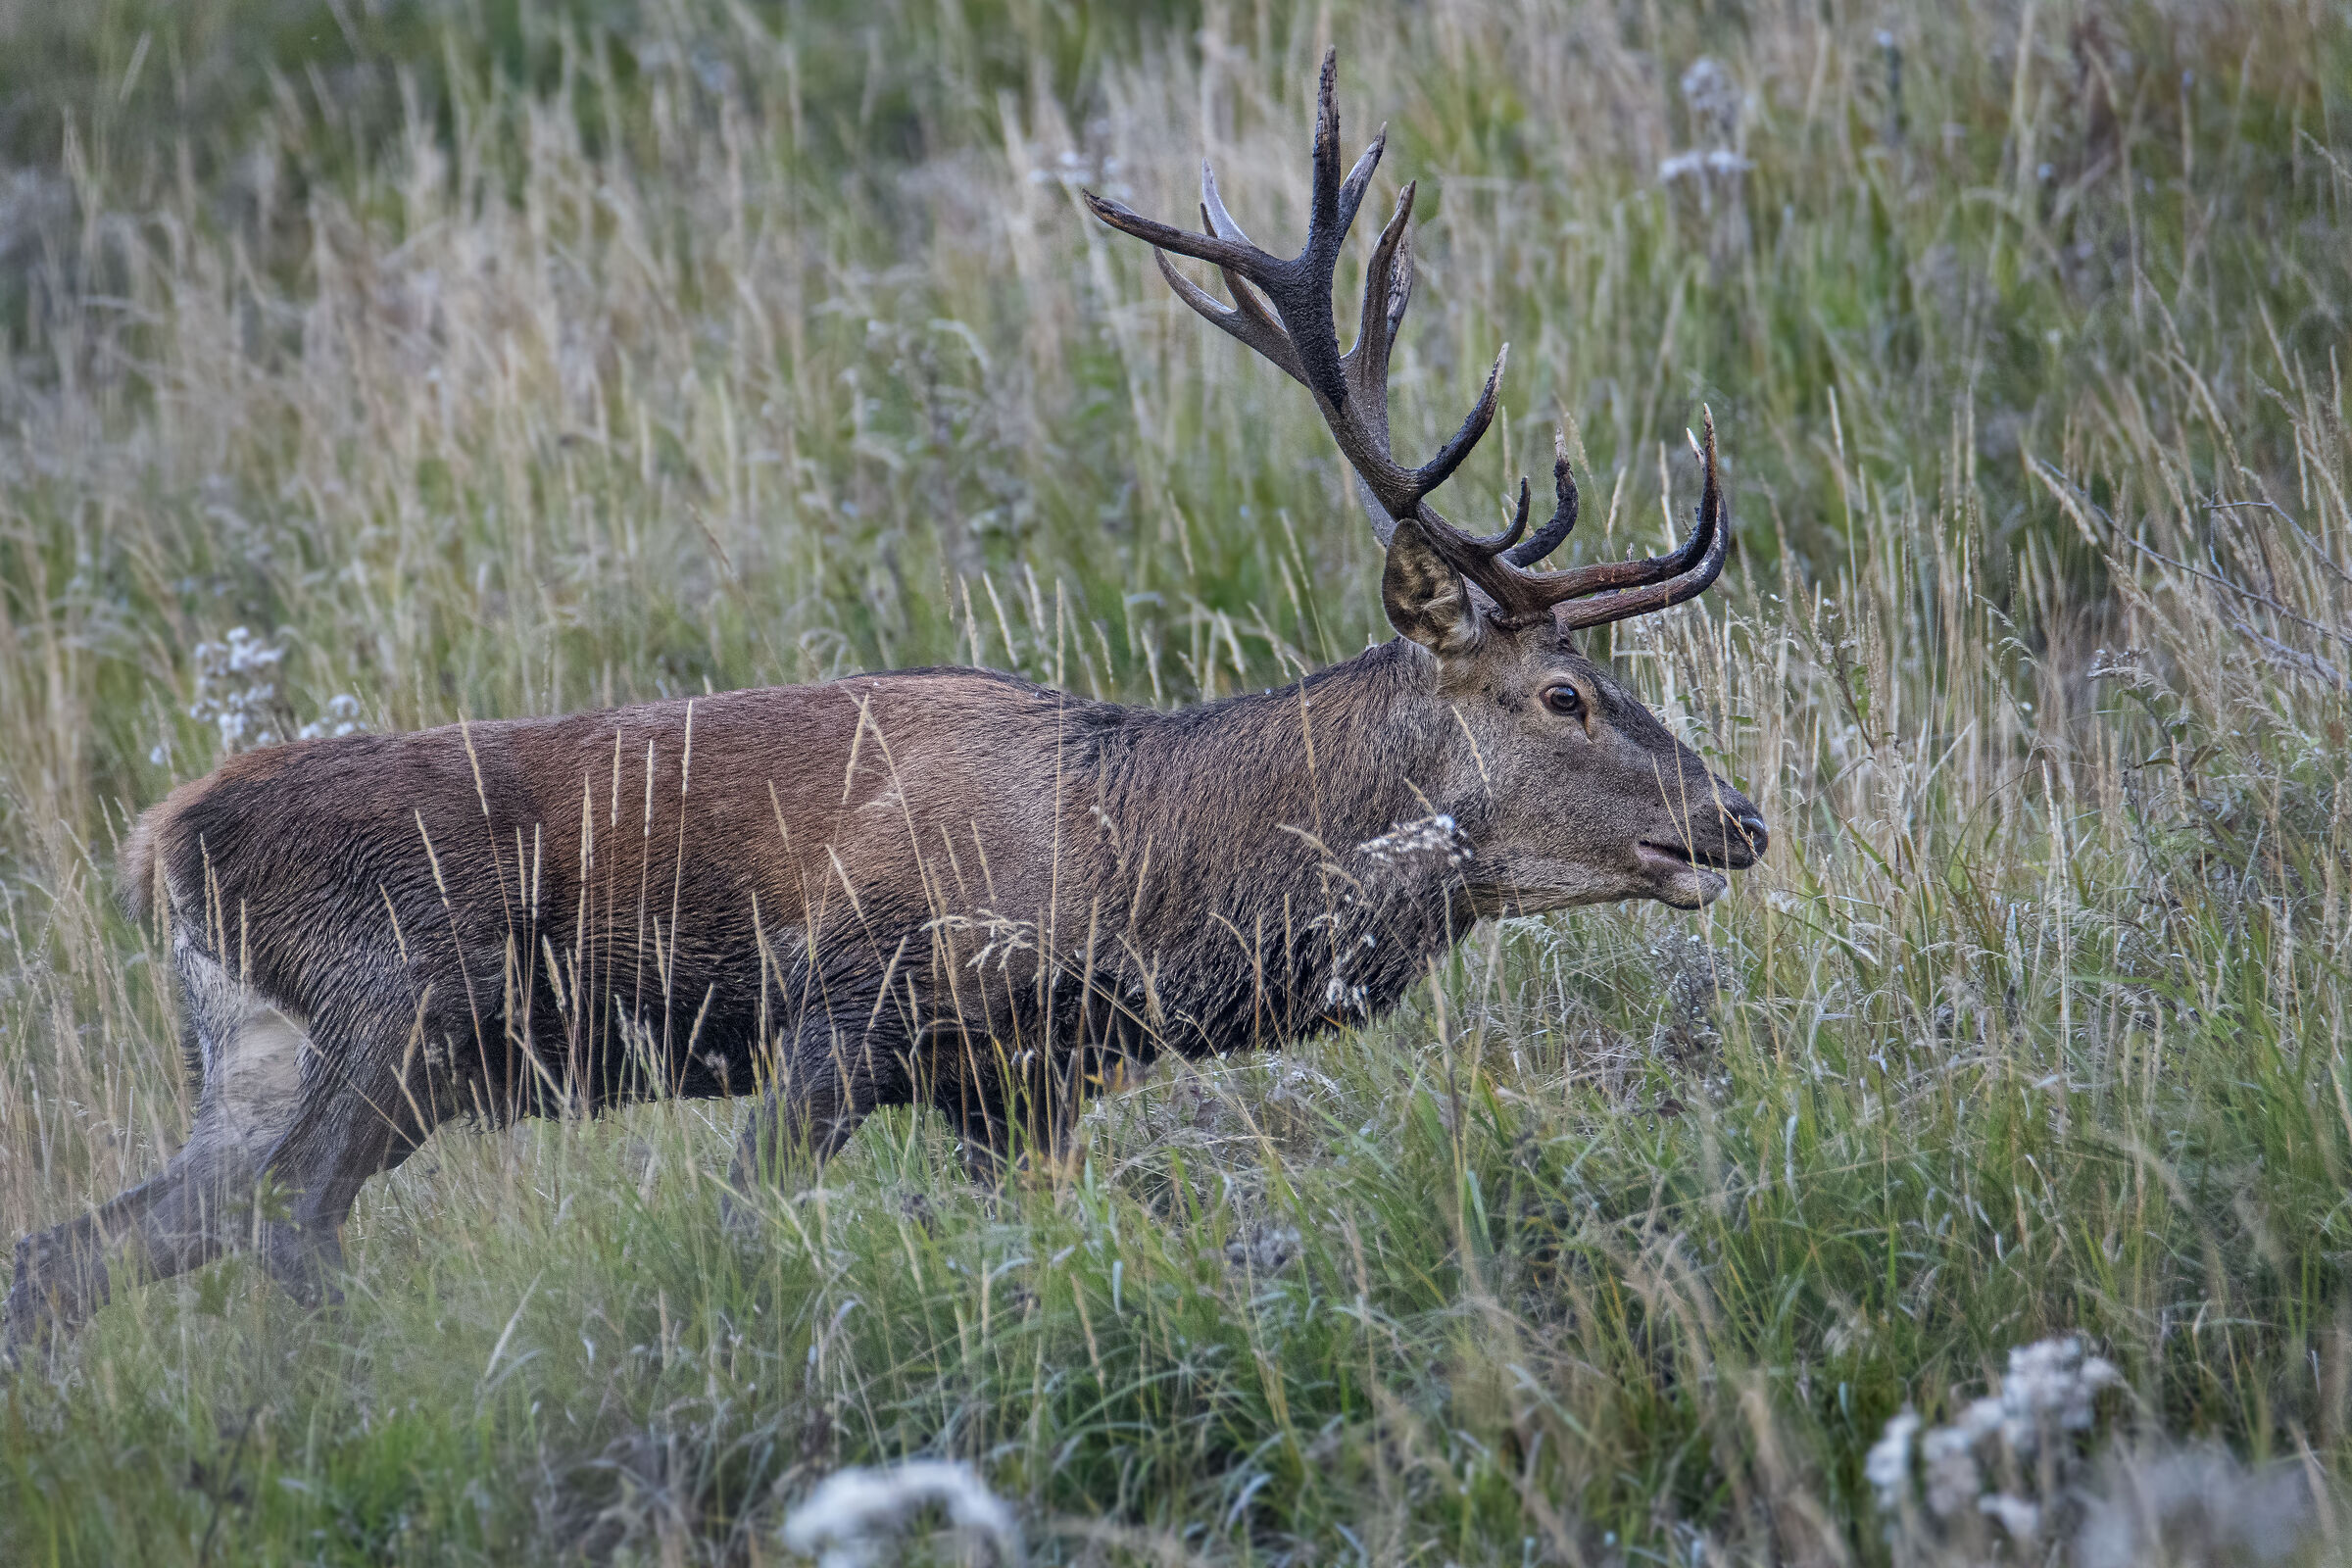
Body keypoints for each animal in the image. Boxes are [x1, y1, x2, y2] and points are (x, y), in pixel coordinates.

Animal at [2, 50, 1764, 1363]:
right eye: (1563, 693)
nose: (1737, 820)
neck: (1127, 876)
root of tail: (161, 838)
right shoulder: (843, 1011)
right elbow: (739, 1222)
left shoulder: (1025, 1083)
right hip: (390, 1008)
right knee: (288, 1230)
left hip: (265, 1051)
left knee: (88, 1252)